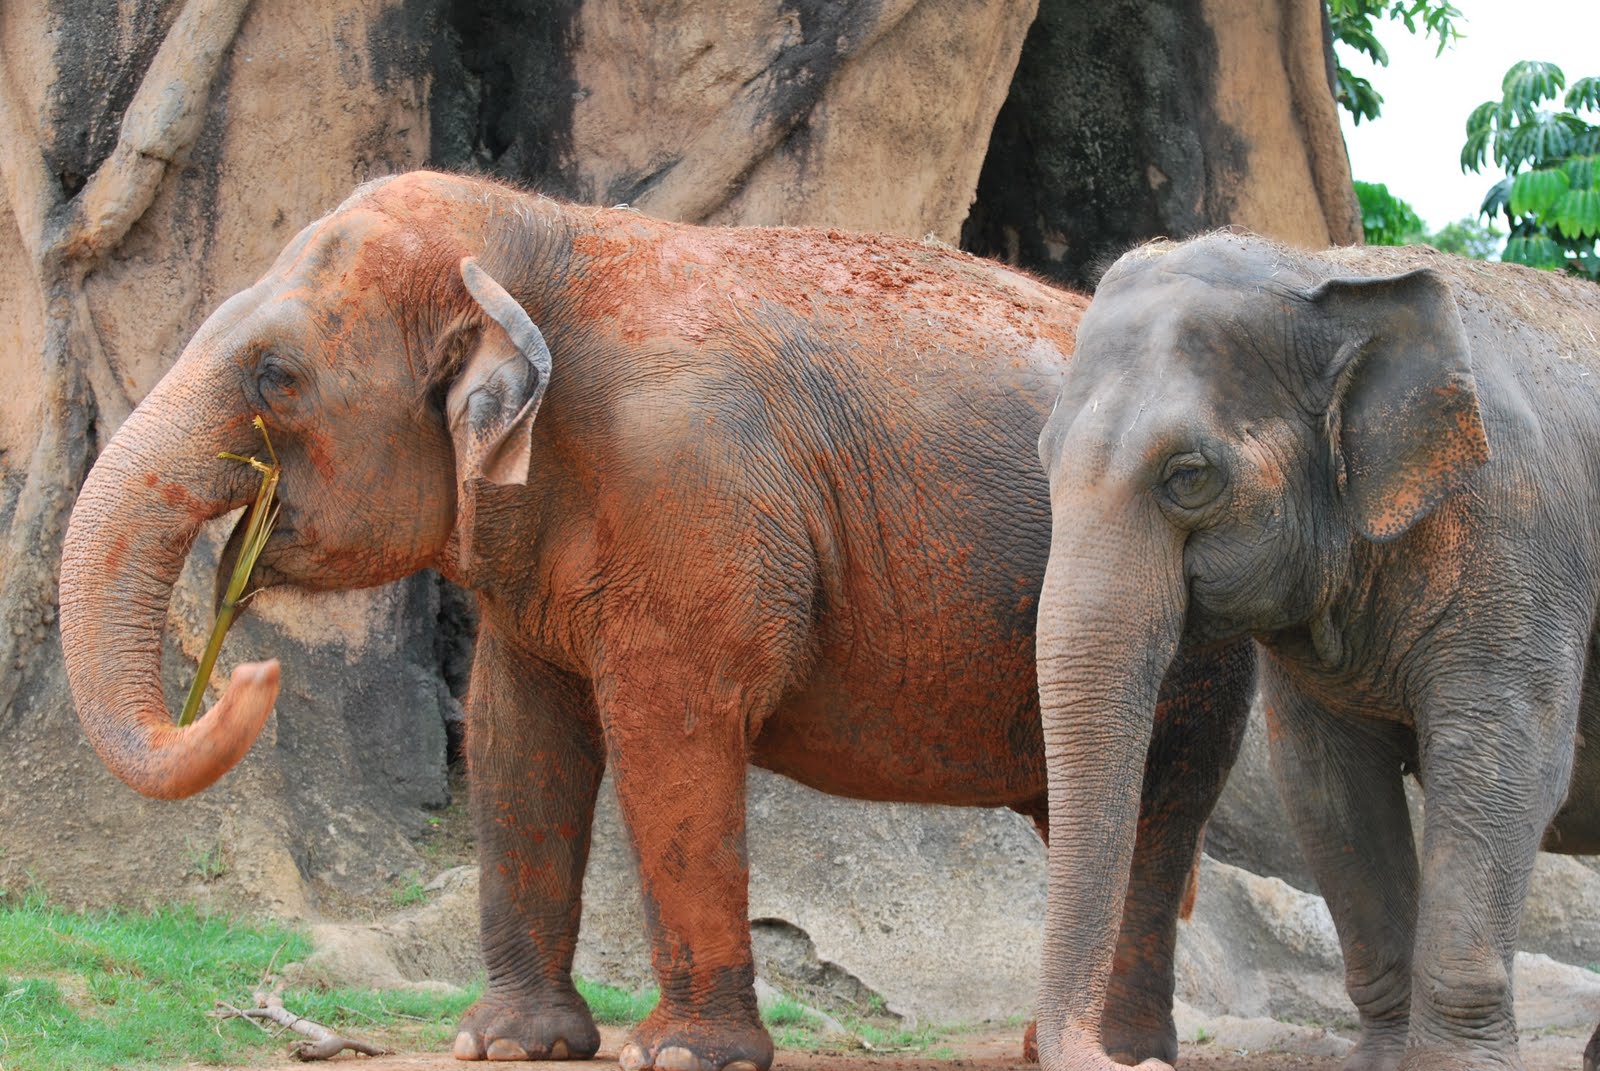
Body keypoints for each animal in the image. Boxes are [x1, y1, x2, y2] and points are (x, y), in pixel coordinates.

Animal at [57, 172, 1255, 1071]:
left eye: (276, 376)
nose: (245, 677)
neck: (535, 236)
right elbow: (516, 735)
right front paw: (507, 1045)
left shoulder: (691, 490)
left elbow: (670, 729)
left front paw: (678, 1055)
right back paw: (1056, 1044)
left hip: (1195, 626)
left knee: (1162, 802)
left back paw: (1124, 1054)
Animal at [1031, 231, 1600, 1071]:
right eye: (1045, 456)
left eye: (1188, 475)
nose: (1135, 1060)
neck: (1331, 274)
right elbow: (1326, 783)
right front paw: (1383, 1063)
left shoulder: (1521, 544)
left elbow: (1507, 765)